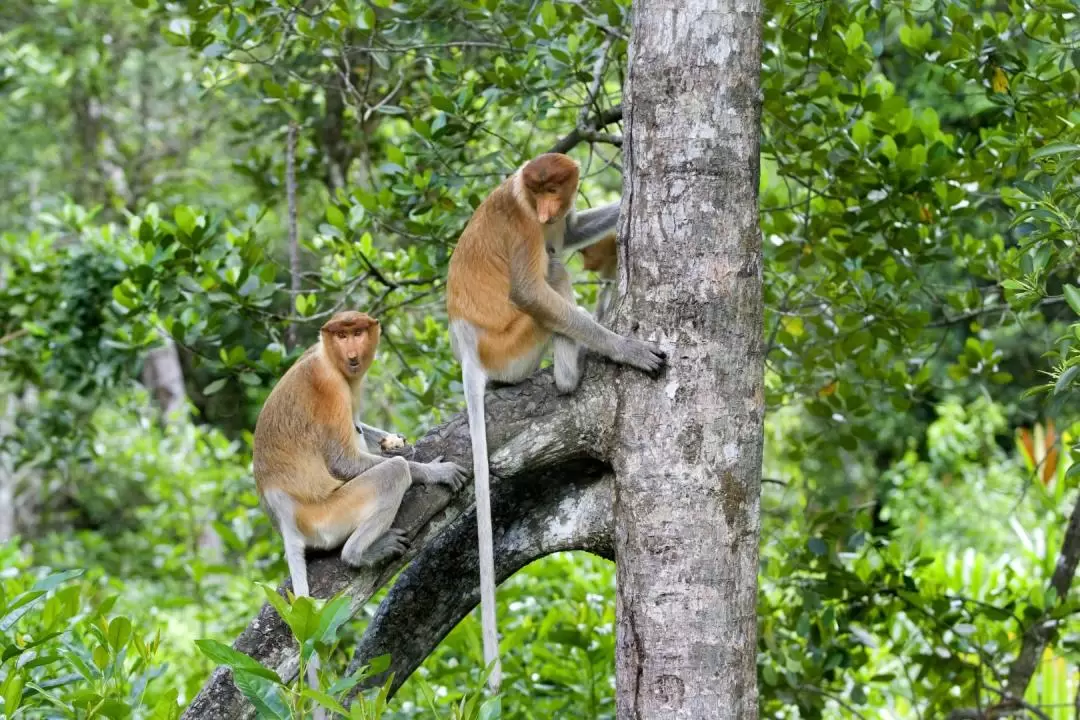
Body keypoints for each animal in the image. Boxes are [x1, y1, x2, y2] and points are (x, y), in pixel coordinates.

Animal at [254, 310, 470, 703]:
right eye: (341, 336)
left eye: (356, 332)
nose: (351, 351)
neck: (328, 358)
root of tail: (286, 515)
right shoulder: (329, 387)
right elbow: (343, 460)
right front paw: (437, 471)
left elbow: (358, 427)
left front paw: (393, 440)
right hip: (329, 514)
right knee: (392, 475)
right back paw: (363, 552)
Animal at [444, 152, 665, 690]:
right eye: (537, 193)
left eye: (554, 190)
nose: (546, 210)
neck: (524, 195)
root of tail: (469, 351)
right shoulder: (522, 223)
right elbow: (530, 289)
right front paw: (627, 349)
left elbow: (572, 232)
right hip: (512, 346)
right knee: (554, 274)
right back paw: (572, 370)